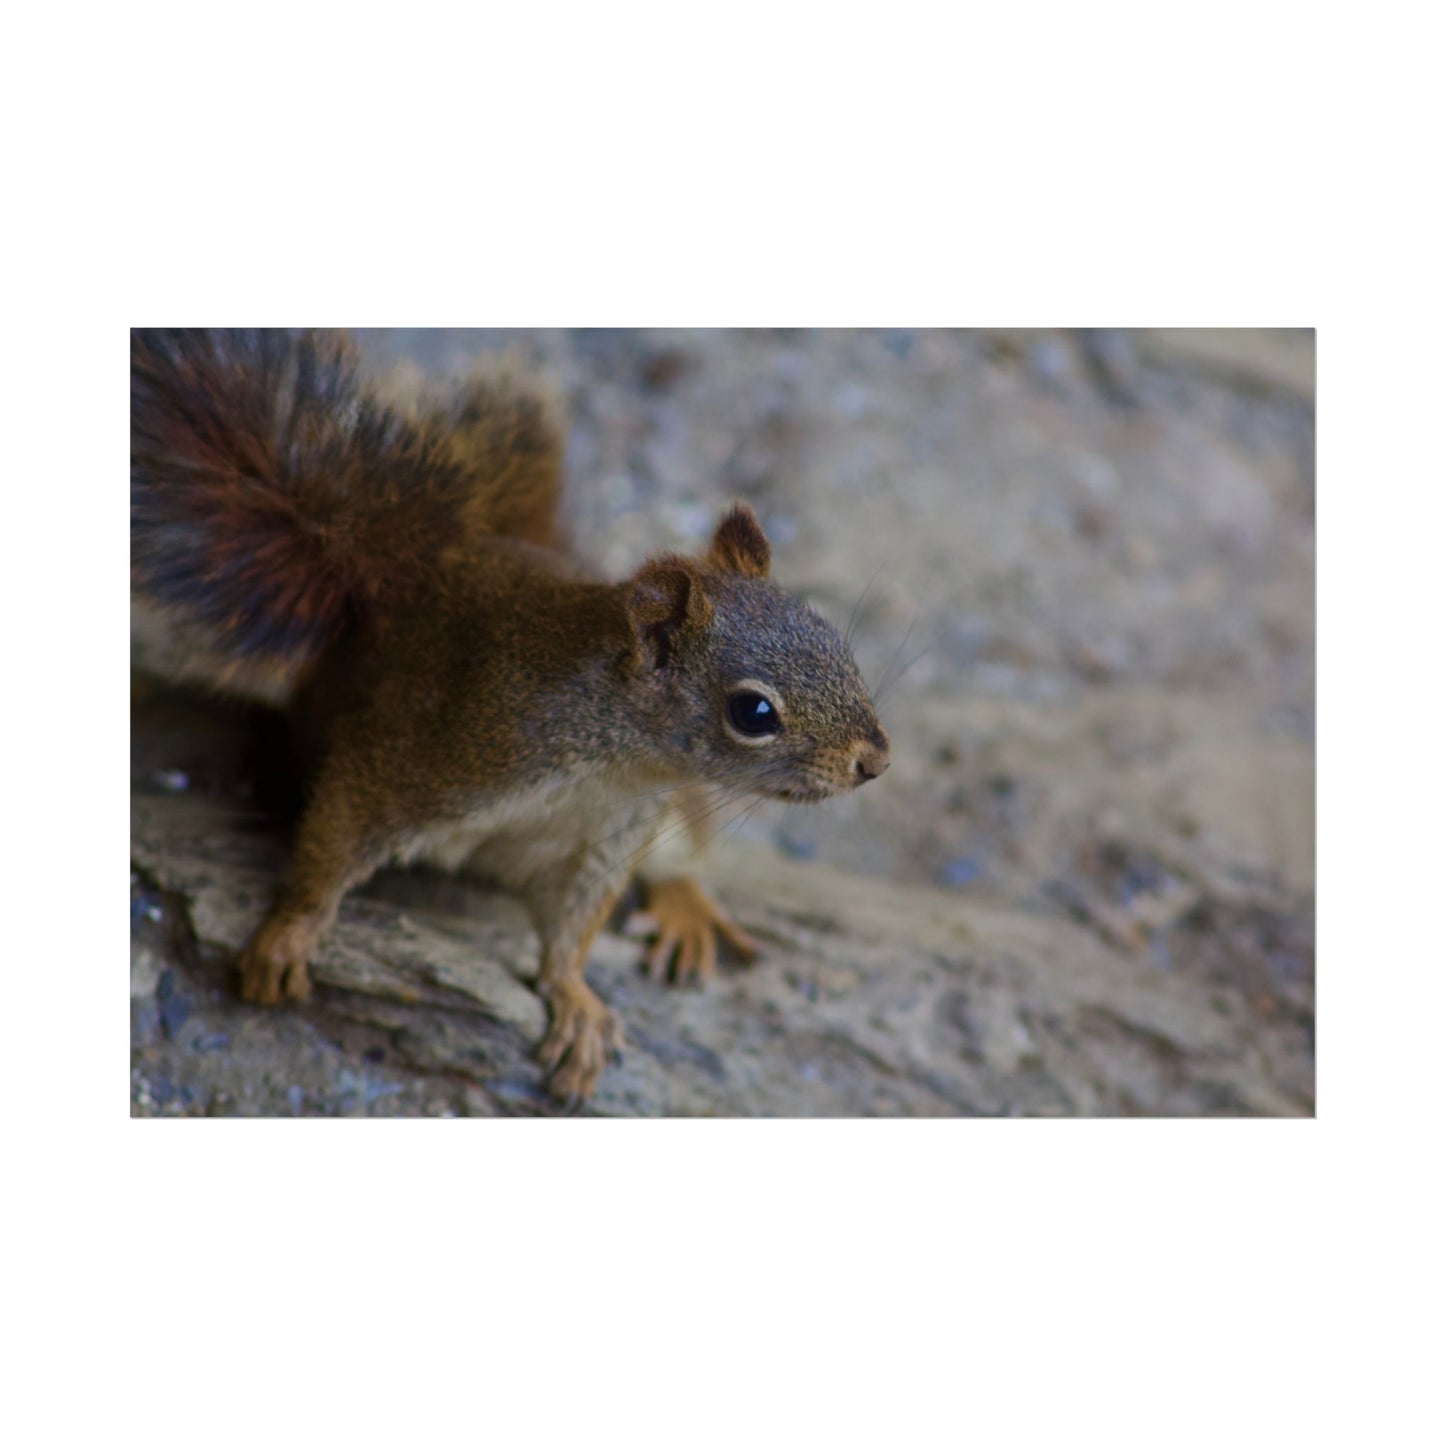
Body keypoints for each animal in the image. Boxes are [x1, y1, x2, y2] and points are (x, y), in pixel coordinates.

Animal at [131, 328, 890, 1103]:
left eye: (829, 635)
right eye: (753, 711)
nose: (875, 760)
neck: (614, 760)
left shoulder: (611, 837)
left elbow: (573, 928)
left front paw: (576, 999)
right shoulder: (432, 750)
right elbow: (336, 835)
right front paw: (287, 935)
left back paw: (685, 907)